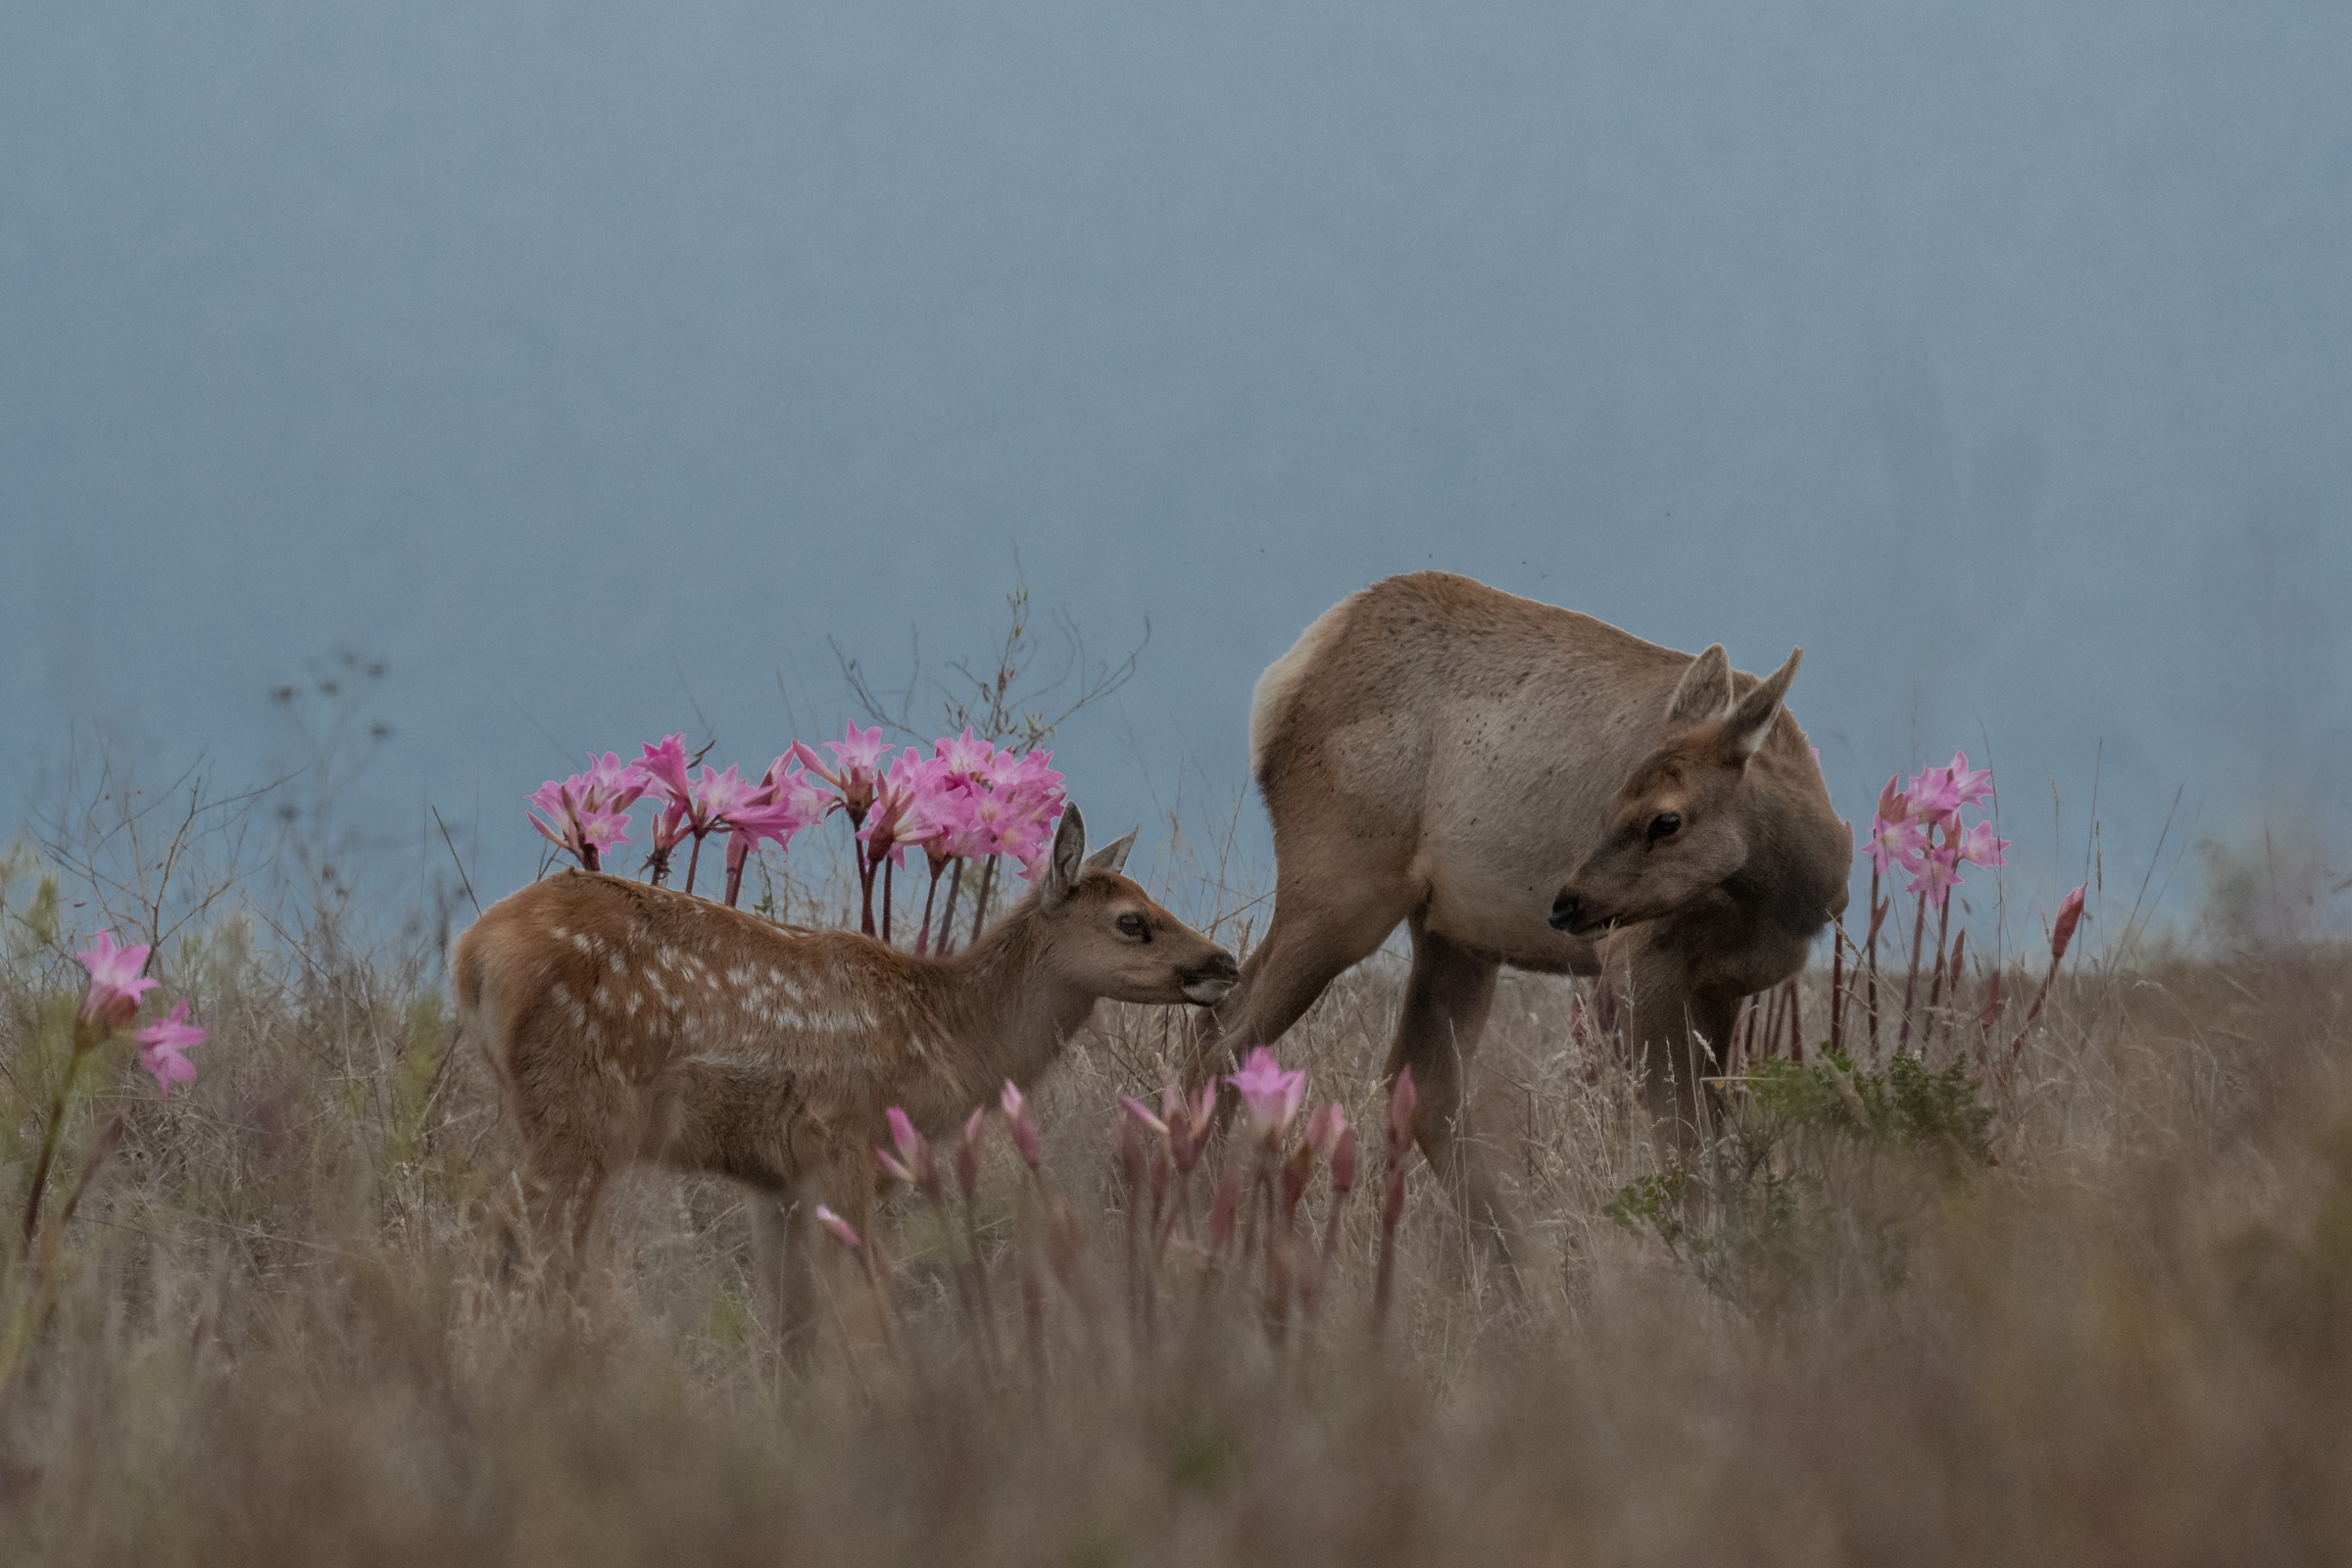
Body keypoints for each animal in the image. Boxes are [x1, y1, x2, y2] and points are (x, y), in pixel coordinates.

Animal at [452, 804, 1239, 1334]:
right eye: (1132, 920)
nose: (1224, 962)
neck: (943, 1036)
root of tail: (473, 954)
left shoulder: (778, 1177)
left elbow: (790, 1319)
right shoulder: (845, 1144)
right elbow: (859, 1304)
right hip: (579, 1105)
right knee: (516, 1242)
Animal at [1200, 571, 1851, 1260]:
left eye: (1666, 819)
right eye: (1613, 803)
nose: (1568, 902)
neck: (1789, 899)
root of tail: (1283, 682)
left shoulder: (1723, 987)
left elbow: (1715, 1135)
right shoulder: (1639, 963)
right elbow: (1683, 1140)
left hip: (1451, 928)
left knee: (1419, 1081)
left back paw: (1519, 1268)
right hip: (1338, 886)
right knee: (1224, 1037)